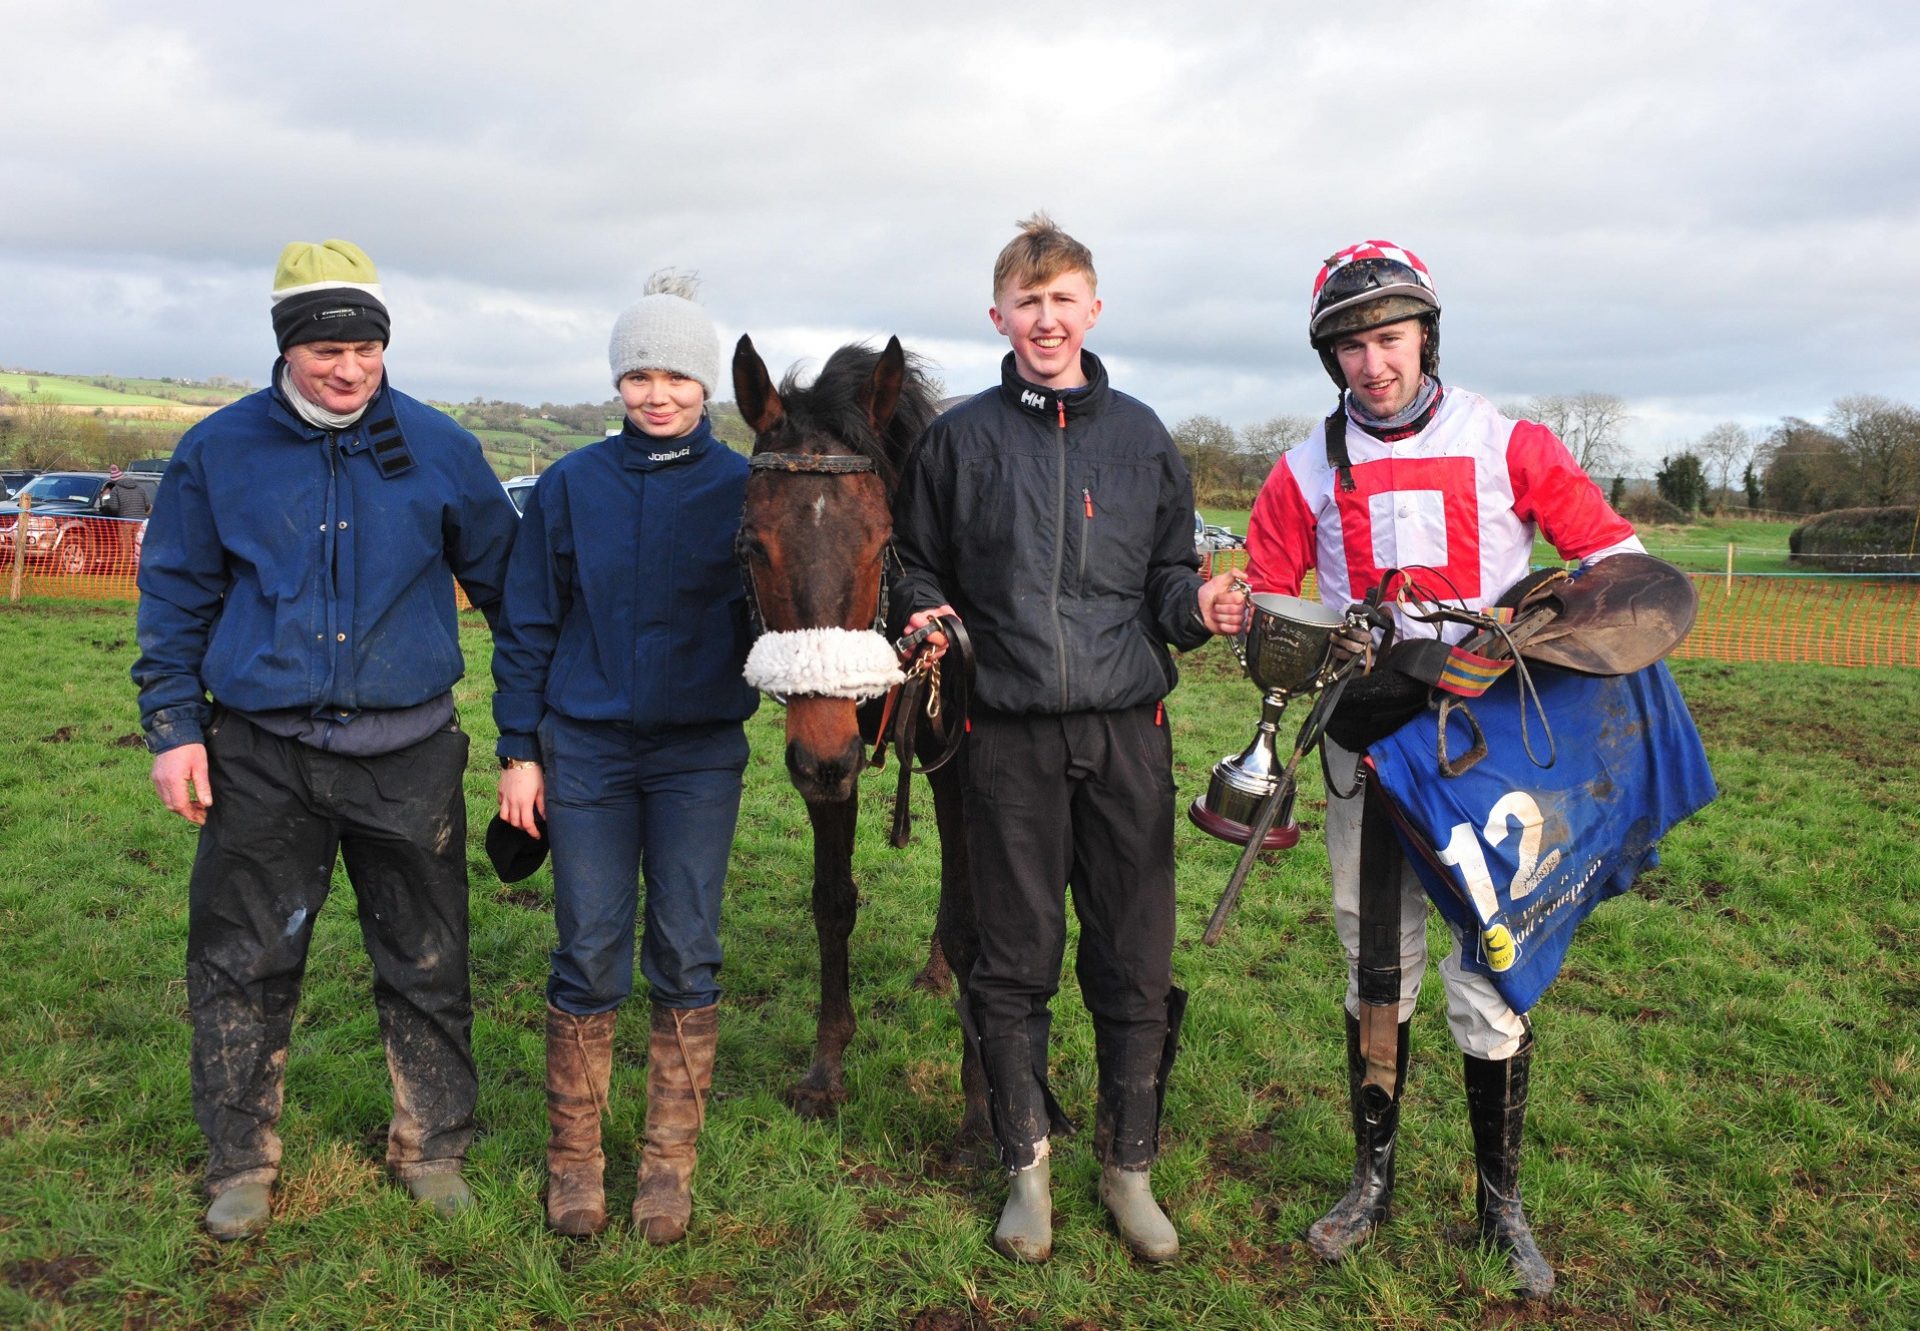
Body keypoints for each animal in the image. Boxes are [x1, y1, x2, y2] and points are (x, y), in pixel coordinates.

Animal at [721, 338, 990, 1144]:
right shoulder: (826, 762)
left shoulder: (956, 760)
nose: (824, 758)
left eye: (883, 541)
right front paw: (826, 1069)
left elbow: (969, 920)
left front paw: (979, 1104)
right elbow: (833, 901)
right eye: (753, 544)